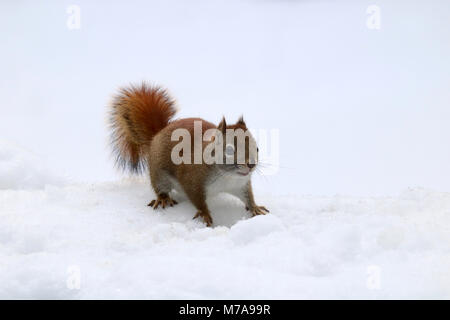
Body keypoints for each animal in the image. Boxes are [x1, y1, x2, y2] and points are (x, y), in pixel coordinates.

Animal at [108, 83, 268, 228]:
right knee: (160, 187)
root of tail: (157, 134)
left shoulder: (241, 185)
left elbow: (248, 197)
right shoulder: (192, 180)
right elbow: (197, 200)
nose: (251, 164)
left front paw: (255, 208)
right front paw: (204, 214)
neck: (227, 177)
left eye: (257, 148)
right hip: (159, 174)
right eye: (229, 150)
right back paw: (163, 199)